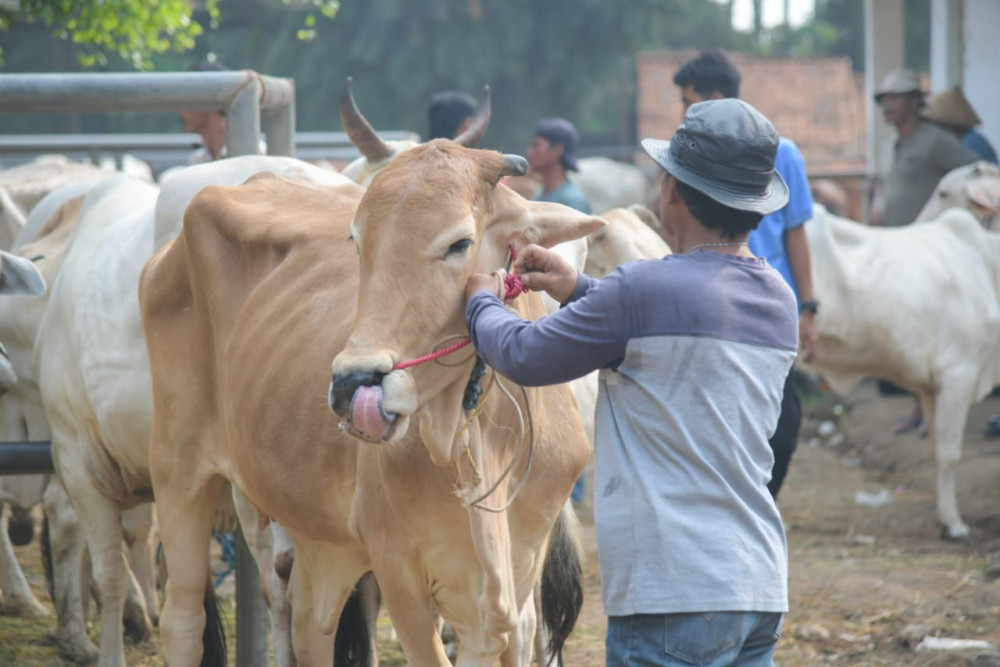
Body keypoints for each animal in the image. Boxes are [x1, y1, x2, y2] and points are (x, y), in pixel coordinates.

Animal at [140, 138, 600, 664]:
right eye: (359, 243)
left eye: (459, 243)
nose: (352, 382)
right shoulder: (397, 568)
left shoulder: (513, 586)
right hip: (177, 471)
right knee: (184, 619)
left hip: (312, 530)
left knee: (307, 623)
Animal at [800, 206, 1000, 540]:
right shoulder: (959, 373)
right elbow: (950, 455)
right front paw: (955, 524)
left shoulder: (932, 388)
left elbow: (936, 451)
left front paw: (943, 518)